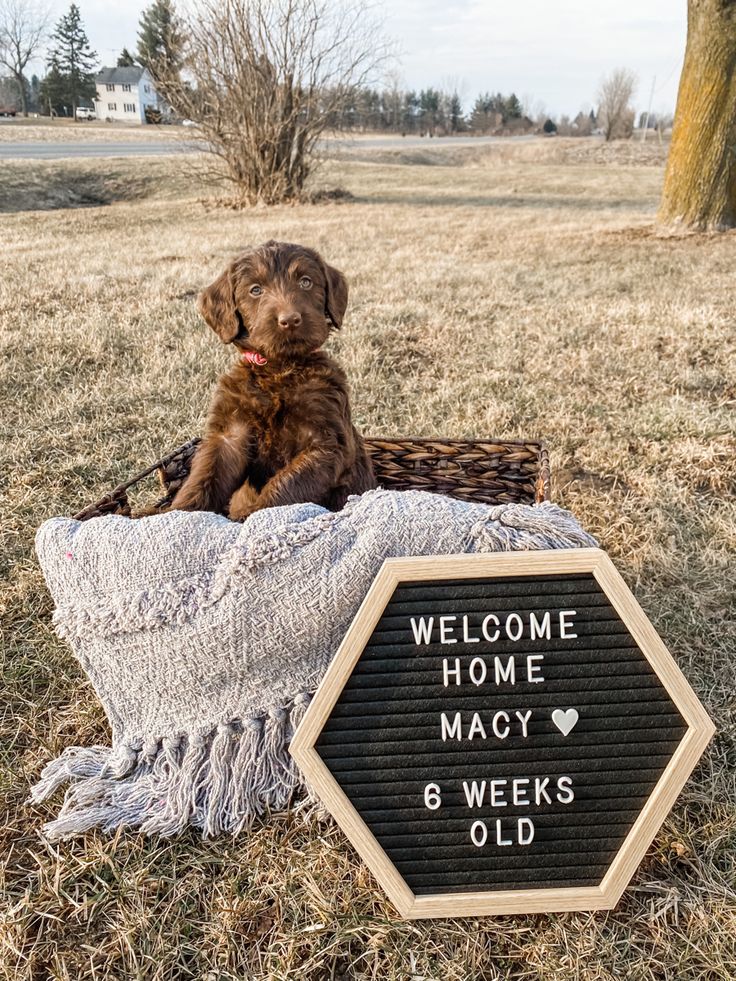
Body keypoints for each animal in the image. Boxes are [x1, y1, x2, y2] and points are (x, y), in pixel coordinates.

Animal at [170, 239, 376, 520]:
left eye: (306, 282)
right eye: (255, 290)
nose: (289, 320)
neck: (280, 369)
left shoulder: (327, 442)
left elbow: (284, 488)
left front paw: (251, 516)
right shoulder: (229, 435)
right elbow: (204, 477)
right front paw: (175, 514)